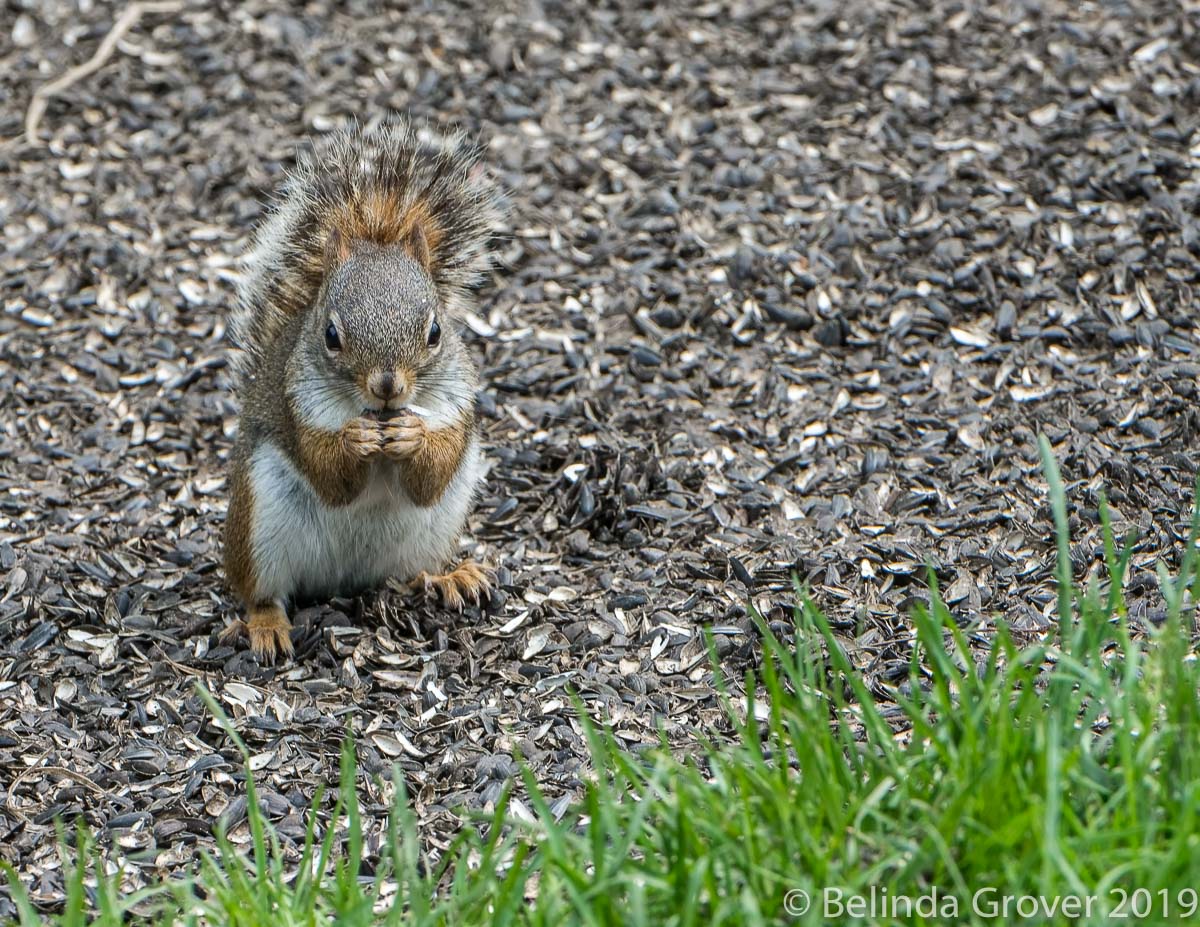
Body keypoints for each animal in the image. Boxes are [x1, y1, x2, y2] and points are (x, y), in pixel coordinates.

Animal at [221, 118, 505, 661]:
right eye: (331, 335)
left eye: (435, 331)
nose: (387, 385)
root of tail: (343, 581)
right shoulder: (298, 406)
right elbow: (329, 474)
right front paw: (354, 440)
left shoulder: (458, 405)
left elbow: (431, 474)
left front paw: (414, 436)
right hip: (259, 527)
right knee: (260, 592)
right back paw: (265, 626)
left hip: (436, 528)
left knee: (417, 567)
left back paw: (451, 576)